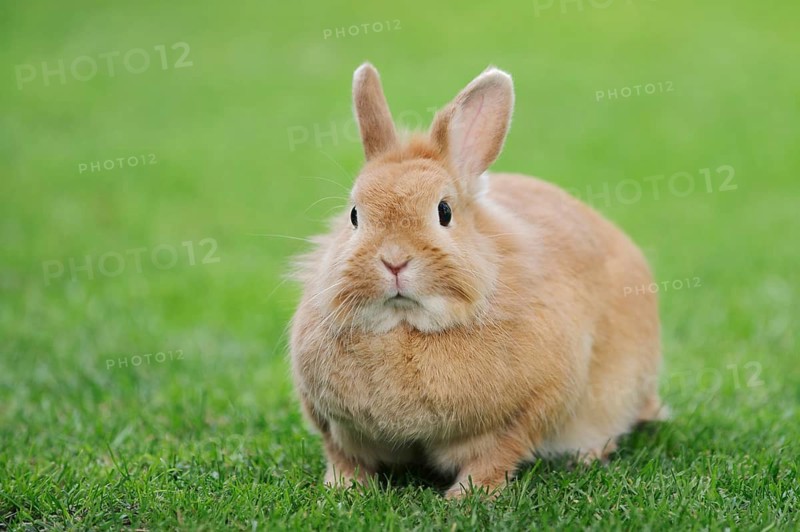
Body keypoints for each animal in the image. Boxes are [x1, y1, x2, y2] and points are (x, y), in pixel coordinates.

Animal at [290, 62, 665, 498]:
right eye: (353, 215)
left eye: (444, 211)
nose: (394, 260)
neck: (406, 325)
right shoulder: (333, 426)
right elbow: (344, 459)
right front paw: (341, 491)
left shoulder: (524, 415)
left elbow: (494, 458)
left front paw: (466, 497)